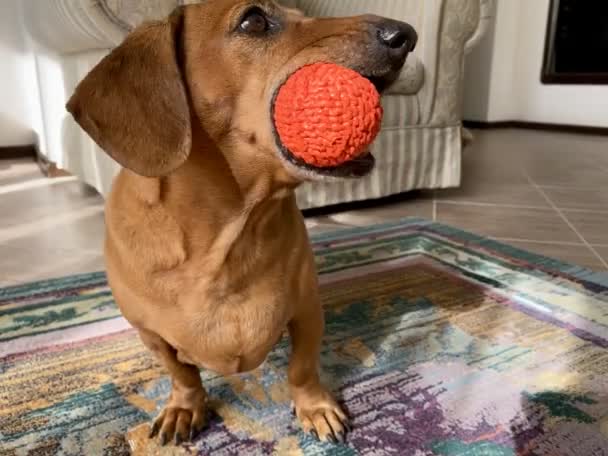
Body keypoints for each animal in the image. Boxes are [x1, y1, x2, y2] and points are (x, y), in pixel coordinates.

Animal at [67, 0, 418, 448]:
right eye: (253, 19)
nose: (405, 34)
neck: (228, 240)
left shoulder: (307, 311)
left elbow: (302, 367)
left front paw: (315, 407)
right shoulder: (151, 335)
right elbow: (182, 373)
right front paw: (184, 407)